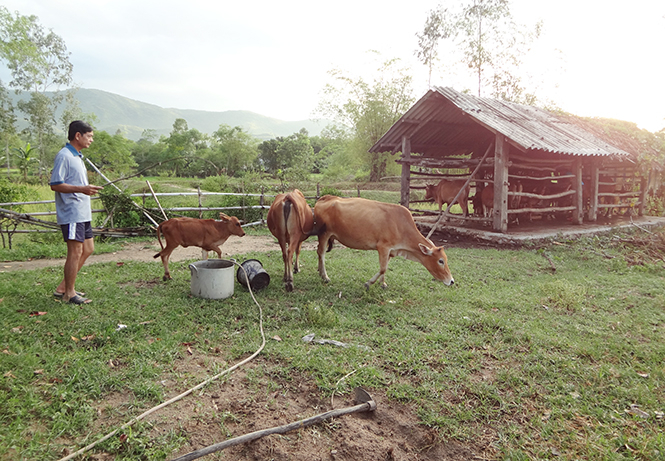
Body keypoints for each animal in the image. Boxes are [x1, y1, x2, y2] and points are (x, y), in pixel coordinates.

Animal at [314, 196, 454, 290]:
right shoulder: (383, 247)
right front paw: (369, 283)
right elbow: (383, 268)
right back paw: (325, 276)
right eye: (441, 261)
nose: (451, 281)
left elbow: (385, 267)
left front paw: (383, 284)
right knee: (321, 253)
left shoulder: (391, 251)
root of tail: (325, 198)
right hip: (324, 233)